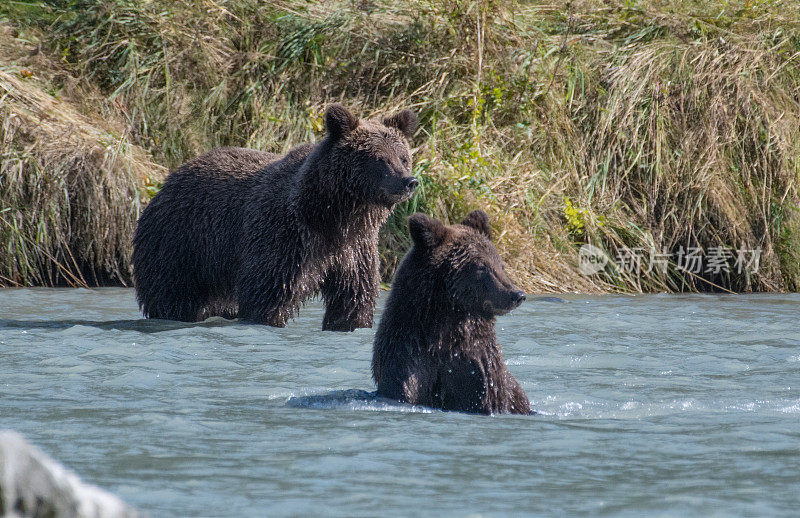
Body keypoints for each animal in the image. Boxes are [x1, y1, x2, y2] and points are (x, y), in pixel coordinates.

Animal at [131, 104, 418, 334]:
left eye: (404, 158)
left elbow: (354, 300)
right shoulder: (286, 238)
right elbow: (268, 297)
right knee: (172, 296)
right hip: (180, 245)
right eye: (380, 159)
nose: (409, 181)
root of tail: (165, 183)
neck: (333, 215)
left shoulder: (355, 249)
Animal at [374, 209, 532, 416]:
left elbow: (486, 393)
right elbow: (405, 387)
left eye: (501, 265)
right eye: (481, 266)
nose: (517, 294)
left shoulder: (477, 363)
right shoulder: (408, 353)